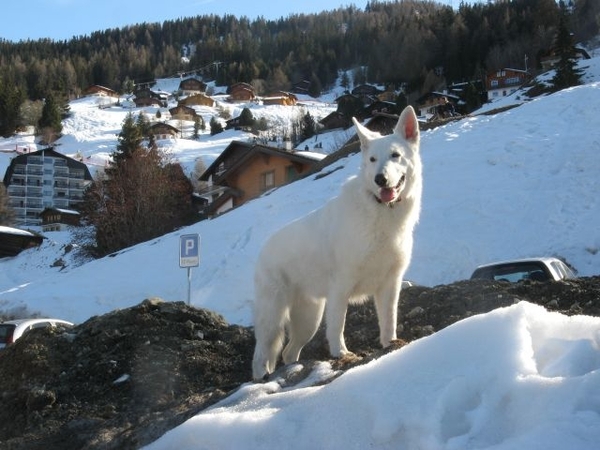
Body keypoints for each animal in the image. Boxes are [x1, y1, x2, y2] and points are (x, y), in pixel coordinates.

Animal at [252, 105, 422, 380]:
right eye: (372, 160)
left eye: (395, 155)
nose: (380, 179)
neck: (380, 212)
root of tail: (263, 250)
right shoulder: (341, 286)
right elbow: (338, 327)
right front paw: (341, 354)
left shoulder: (390, 284)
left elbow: (389, 321)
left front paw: (390, 344)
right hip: (273, 318)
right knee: (260, 356)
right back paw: (261, 380)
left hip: (309, 319)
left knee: (288, 352)